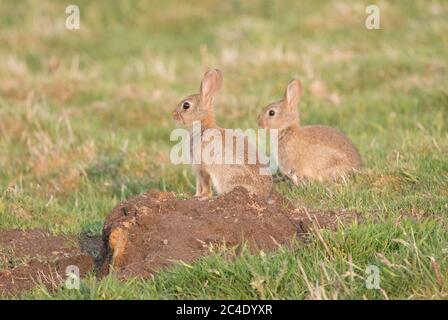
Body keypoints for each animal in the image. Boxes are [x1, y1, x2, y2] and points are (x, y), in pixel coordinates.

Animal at [172, 69, 272, 198]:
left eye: (186, 105)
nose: (173, 115)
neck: (203, 125)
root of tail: (262, 195)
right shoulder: (197, 169)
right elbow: (199, 184)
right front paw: (196, 196)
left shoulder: (203, 167)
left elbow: (205, 183)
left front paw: (203, 196)